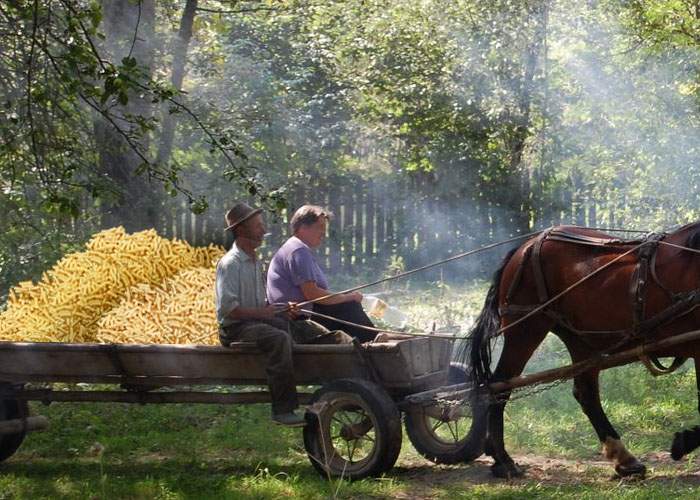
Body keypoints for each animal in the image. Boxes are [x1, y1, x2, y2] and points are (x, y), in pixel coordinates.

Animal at [468, 225, 700, 478]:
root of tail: (525, 246)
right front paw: (684, 441)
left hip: (581, 341)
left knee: (586, 394)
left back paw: (624, 458)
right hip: (525, 330)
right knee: (500, 385)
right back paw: (503, 459)